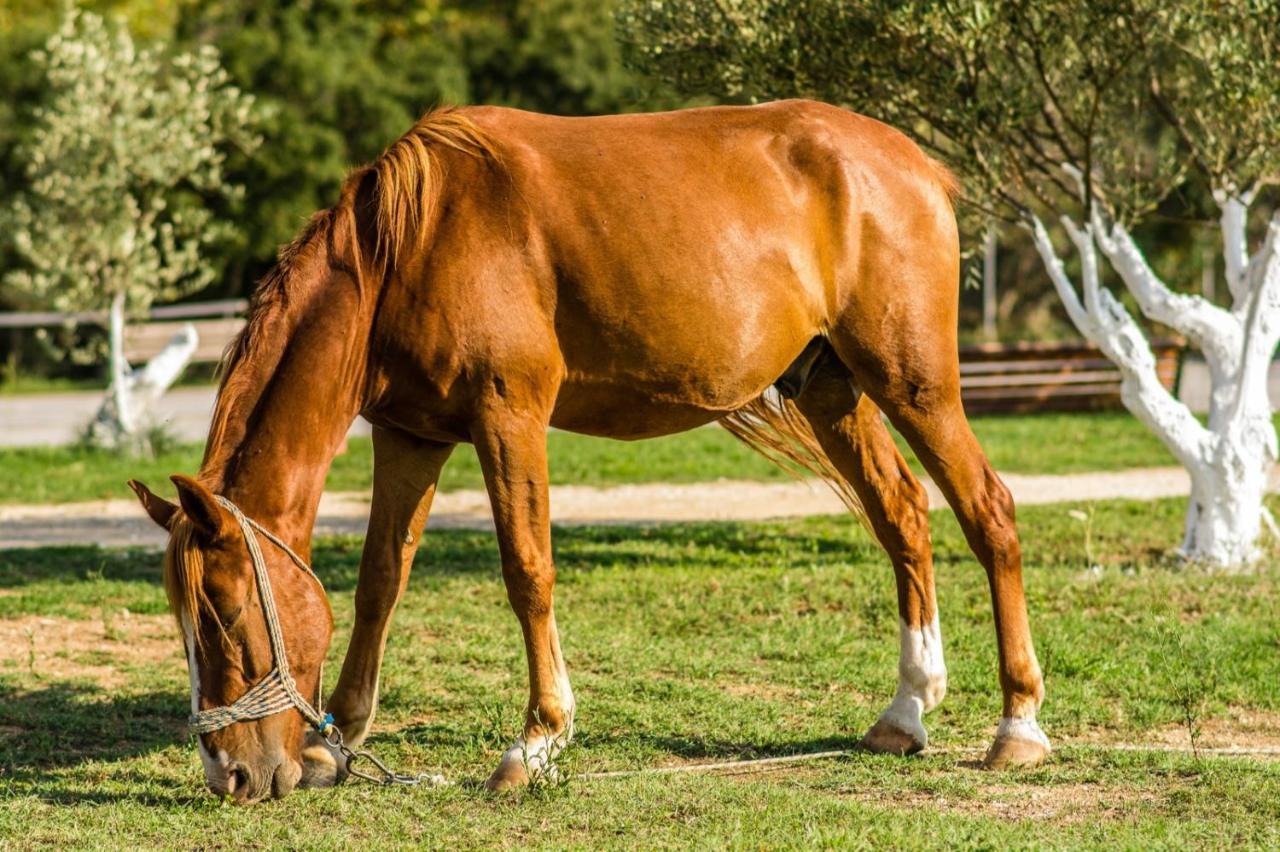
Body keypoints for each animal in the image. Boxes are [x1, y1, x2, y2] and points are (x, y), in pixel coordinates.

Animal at [127, 99, 1049, 798]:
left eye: (224, 615)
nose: (230, 775)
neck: (412, 247)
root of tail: (915, 166)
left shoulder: (509, 418)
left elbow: (528, 571)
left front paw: (536, 741)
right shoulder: (411, 435)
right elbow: (380, 580)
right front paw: (336, 740)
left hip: (913, 385)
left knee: (988, 512)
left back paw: (1018, 725)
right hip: (834, 390)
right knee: (903, 517)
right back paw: (906, 712)